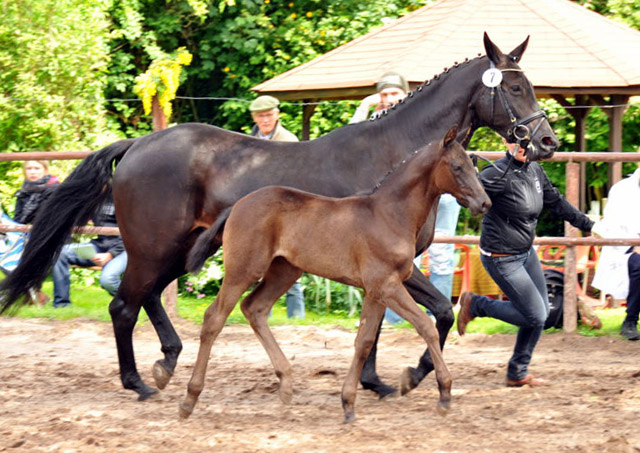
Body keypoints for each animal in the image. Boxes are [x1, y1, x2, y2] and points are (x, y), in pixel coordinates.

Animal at [179, 125, 490, 422]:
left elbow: (364, 341)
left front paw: (348, 405)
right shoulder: (386, 285)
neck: (389, 214)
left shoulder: (376, 291)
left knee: (254, 308)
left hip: (285, 270)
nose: (484, 203)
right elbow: (426, 327)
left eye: (472, 164)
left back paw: (286, 384)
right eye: (457, 167)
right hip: (243, 269)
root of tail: (238, 205)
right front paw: (444, 393)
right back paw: (189, 399)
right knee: (214, 318)